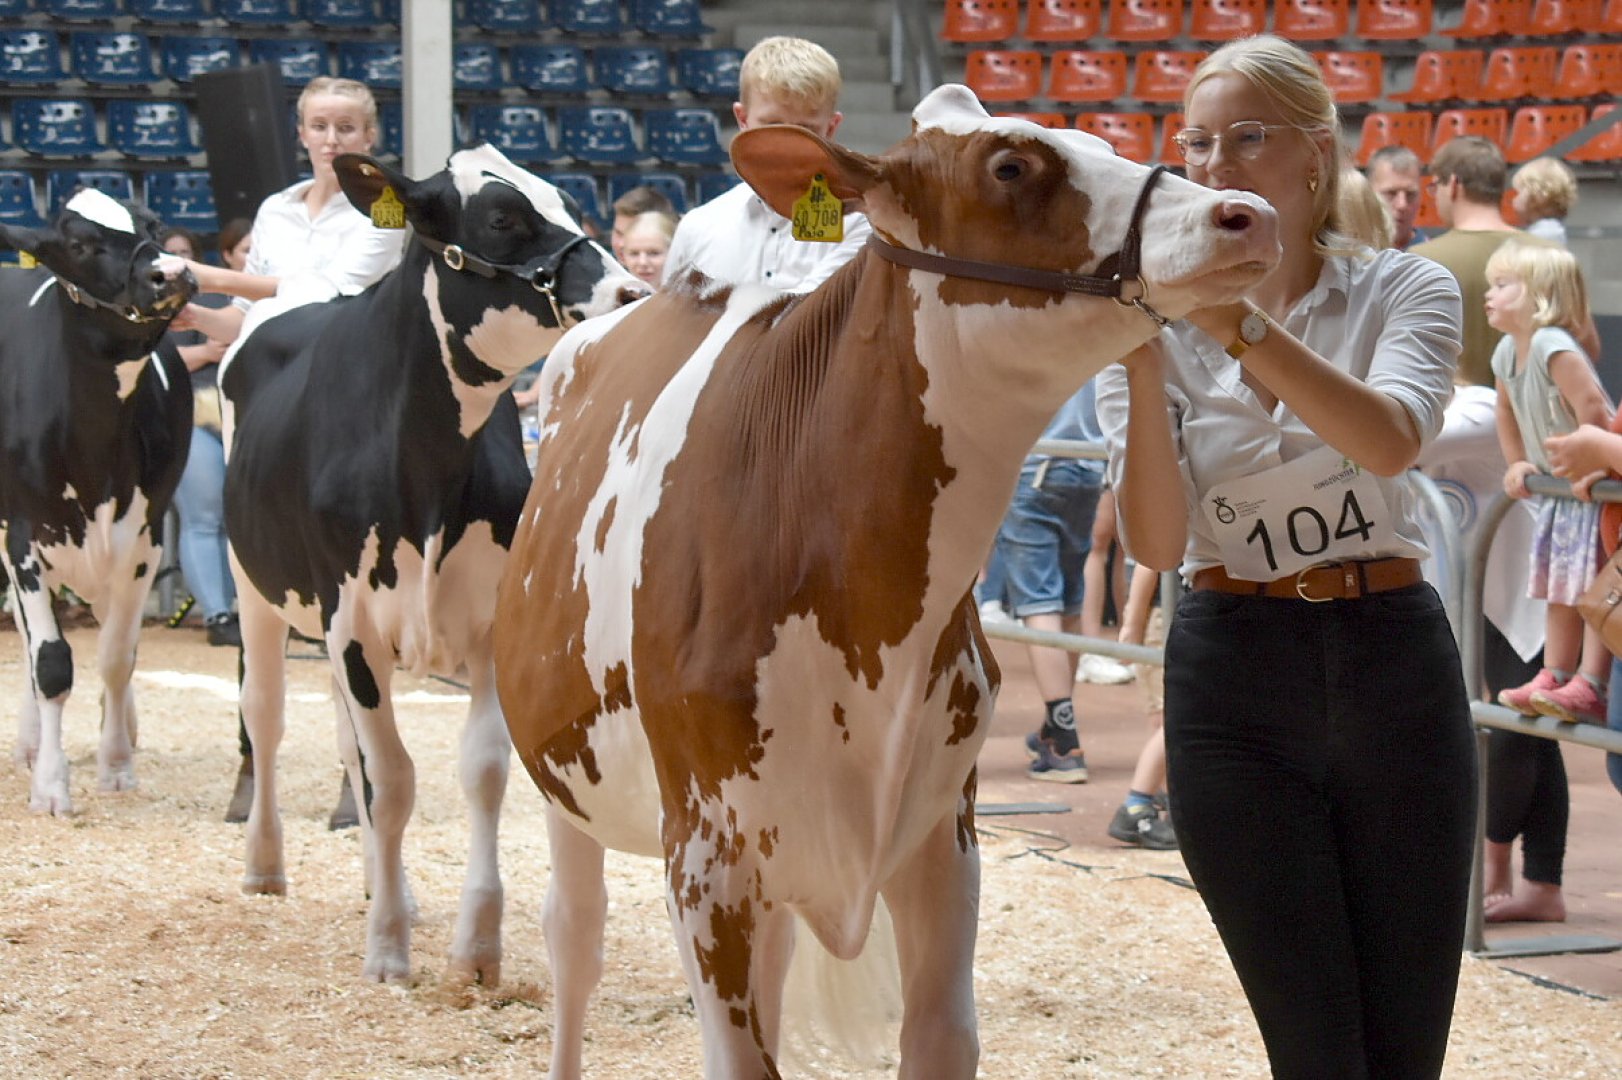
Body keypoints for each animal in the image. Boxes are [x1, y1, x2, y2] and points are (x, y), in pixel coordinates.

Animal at [0, 191, 194, 817]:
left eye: (154, 224)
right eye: (79, 244)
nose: (172, 272)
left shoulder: (143, 540)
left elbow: (117, 655)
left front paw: (115, 764)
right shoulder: (24, 538)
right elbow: (50, 661)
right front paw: (51, 786)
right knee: (27, 637)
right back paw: (30, 743)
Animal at [223, 145, 652, 985]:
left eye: (568, 202)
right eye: (502, 217)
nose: (632, 294)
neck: (423, 469)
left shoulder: (487, 624)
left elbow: (479, 771)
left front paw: (475, 947)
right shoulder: (353, 623)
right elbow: (390, 781)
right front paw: (388, 950)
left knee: (344, 741)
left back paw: (378, 883)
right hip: (255, 587)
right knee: (268, 713)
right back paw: (263, 866)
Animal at [493, 86, 1278, 1076]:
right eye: (1010, 166)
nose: (1246, 214)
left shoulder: (942, 831)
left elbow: (942, 1034)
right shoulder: (706, 854)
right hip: (565, 780)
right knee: (575, 940)